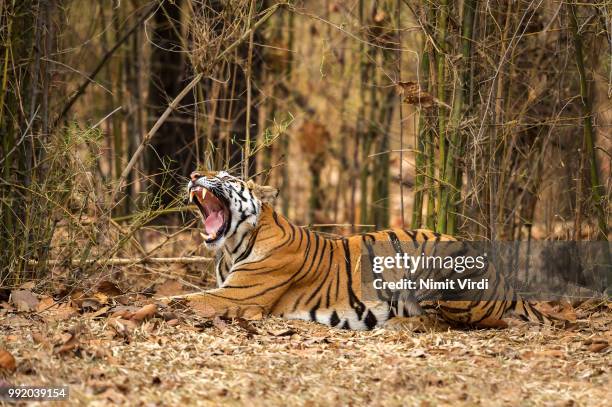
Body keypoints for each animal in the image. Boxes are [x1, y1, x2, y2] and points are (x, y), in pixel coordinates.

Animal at [184, 170, 552, 332]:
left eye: (225, 175)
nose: (194, 174)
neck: (231, 247)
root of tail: (503, 277)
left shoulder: (236, 296)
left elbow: (181, 300)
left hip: (440, 268)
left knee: (457, 322)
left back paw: (397, 325)